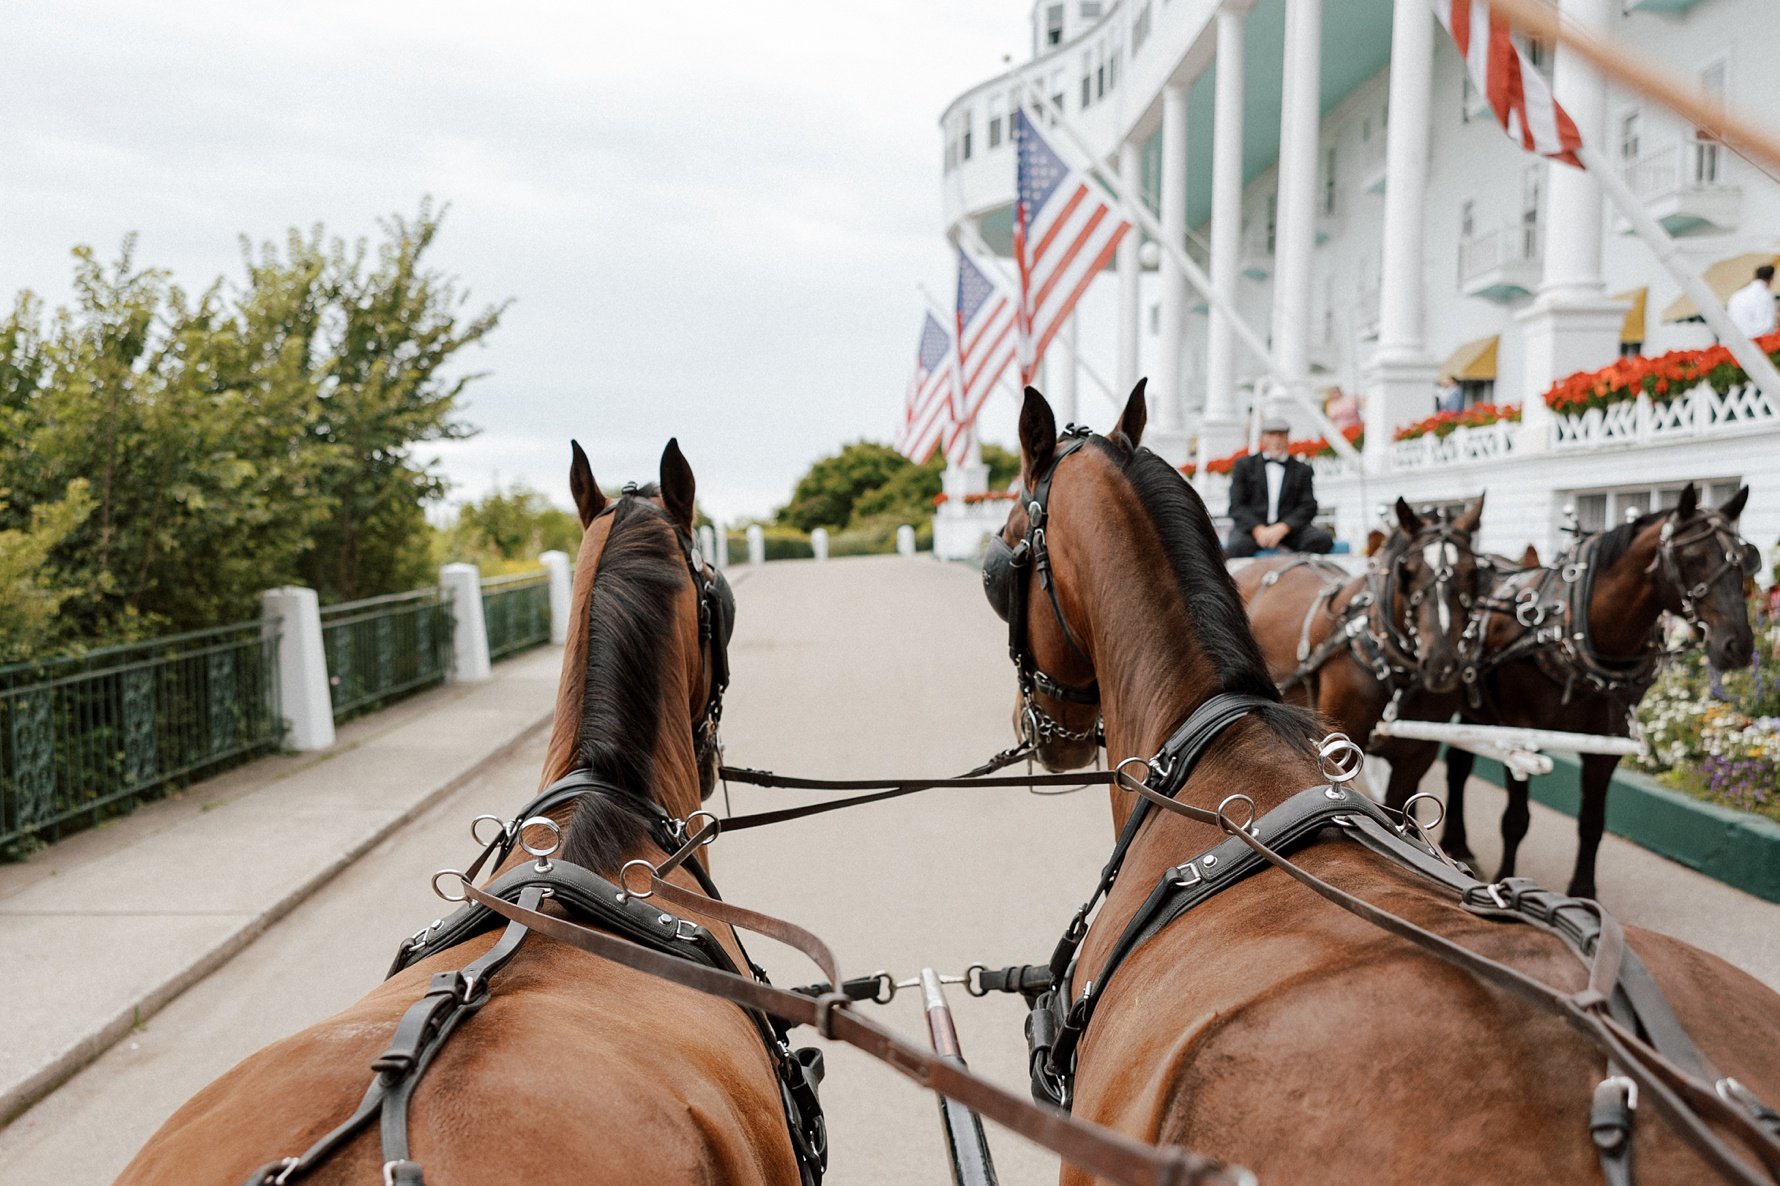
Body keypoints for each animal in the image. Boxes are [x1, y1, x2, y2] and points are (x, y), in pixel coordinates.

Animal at [1388, 484, 1751, 897]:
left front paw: (1583, 891)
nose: (1738, 645)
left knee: (1459, 768)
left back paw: (1458, 843)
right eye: (1692, 557)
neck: (1576, 625)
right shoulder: (1523, 734)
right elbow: (1516, 818)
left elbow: (1592, 824)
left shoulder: (1607, 744)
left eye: (1745, 559)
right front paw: (1505, 880)